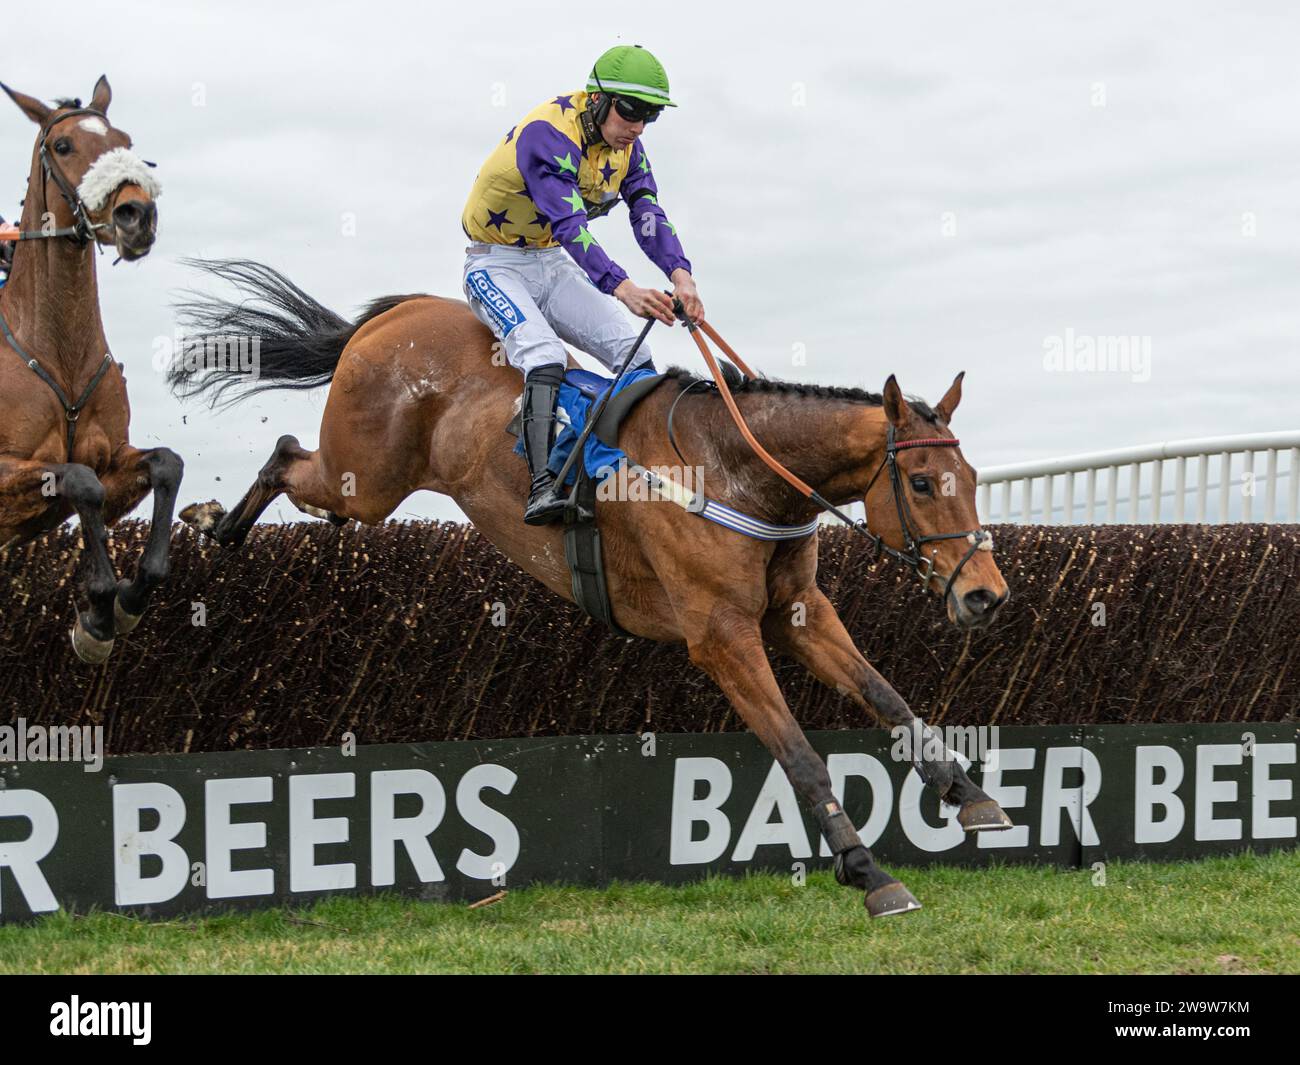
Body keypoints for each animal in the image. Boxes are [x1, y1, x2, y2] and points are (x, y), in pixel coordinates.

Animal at [0, 78, 183, 663]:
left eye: (124, 140)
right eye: (63, 147)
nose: (136, 215)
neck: (60, 352)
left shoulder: (114, 460)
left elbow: (165, 464)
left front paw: (125, 601)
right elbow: (80, 482)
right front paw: (100, 612)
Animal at [167, 258, 1008, 915]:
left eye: (971, 477)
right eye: (924, 482)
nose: (987, 595)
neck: (737, 469)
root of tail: (394, 315)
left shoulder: (797, 611)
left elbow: (889, 697)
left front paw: (970, 795)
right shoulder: (721, 634)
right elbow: (800, 753)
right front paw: (869, 871)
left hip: (365, 485)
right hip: (366, 475)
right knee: (286, 453)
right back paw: (213, 523)